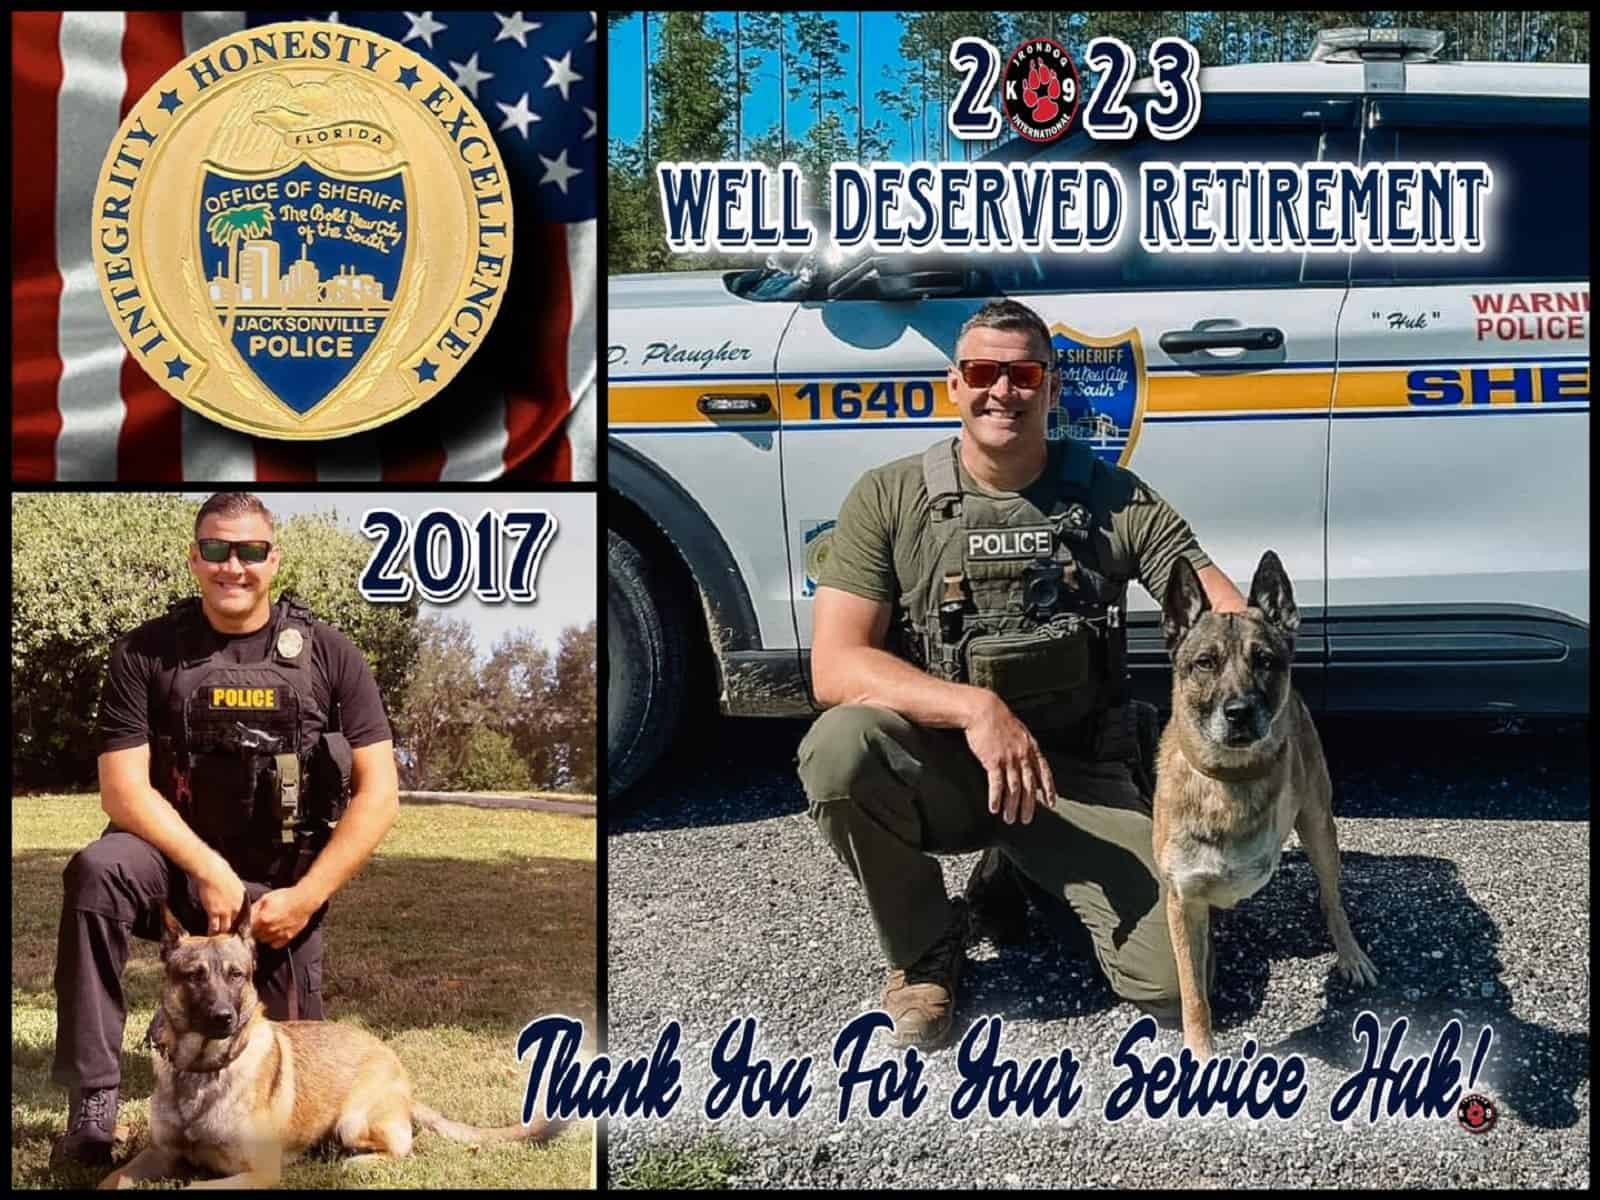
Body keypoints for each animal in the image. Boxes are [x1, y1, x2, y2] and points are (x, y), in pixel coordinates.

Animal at [98, 908, 563, 1190]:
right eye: (193, 975)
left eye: (236, 975)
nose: (223, 1018)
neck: (201, 1070)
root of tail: (399, 1073)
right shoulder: (157, 1154)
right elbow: (112, 1180)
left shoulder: (258, 1173)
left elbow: (194, 1184)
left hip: (353, 1121)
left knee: (401, 1148)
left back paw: (353, 1163)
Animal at [1152, 553, 1376, 1062]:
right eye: (1205, 662)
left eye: (1265, 661)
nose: (1238, 712)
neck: (1228, 781)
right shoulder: (1181, 903)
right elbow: (1193, 994)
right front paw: (1201, 1052)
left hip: (1320, 830)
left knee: (1332, 899)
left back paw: (1350, 952)